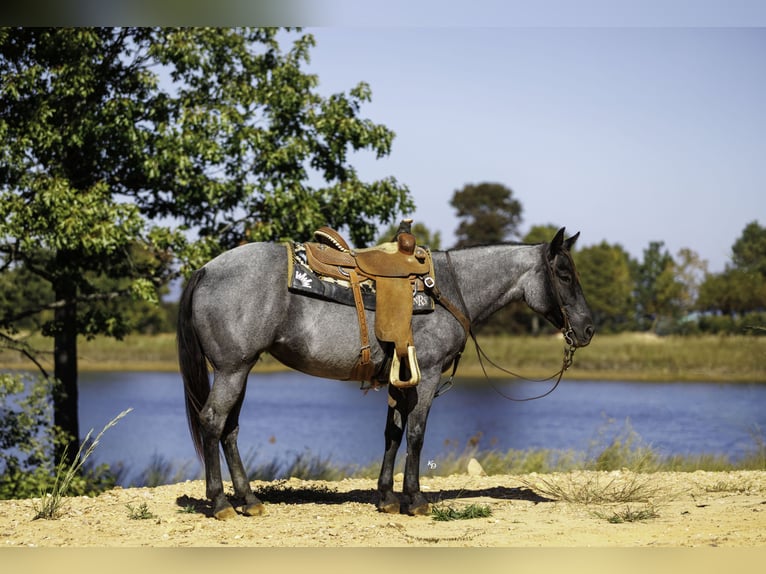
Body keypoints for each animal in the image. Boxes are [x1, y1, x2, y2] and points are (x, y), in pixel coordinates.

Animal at [177, 226, 594, 520]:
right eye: (564, 275)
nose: (589, 328)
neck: (451, 287)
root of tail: (206, 270)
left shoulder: (401, 377)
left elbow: (392, 433)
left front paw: (387, 497)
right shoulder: (427, 375)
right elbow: (416, 434)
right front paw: (416, 499)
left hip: (240, 369)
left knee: (229, 429)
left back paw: (249, 500)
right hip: (232, 369)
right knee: (212, 421)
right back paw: (221, 503)